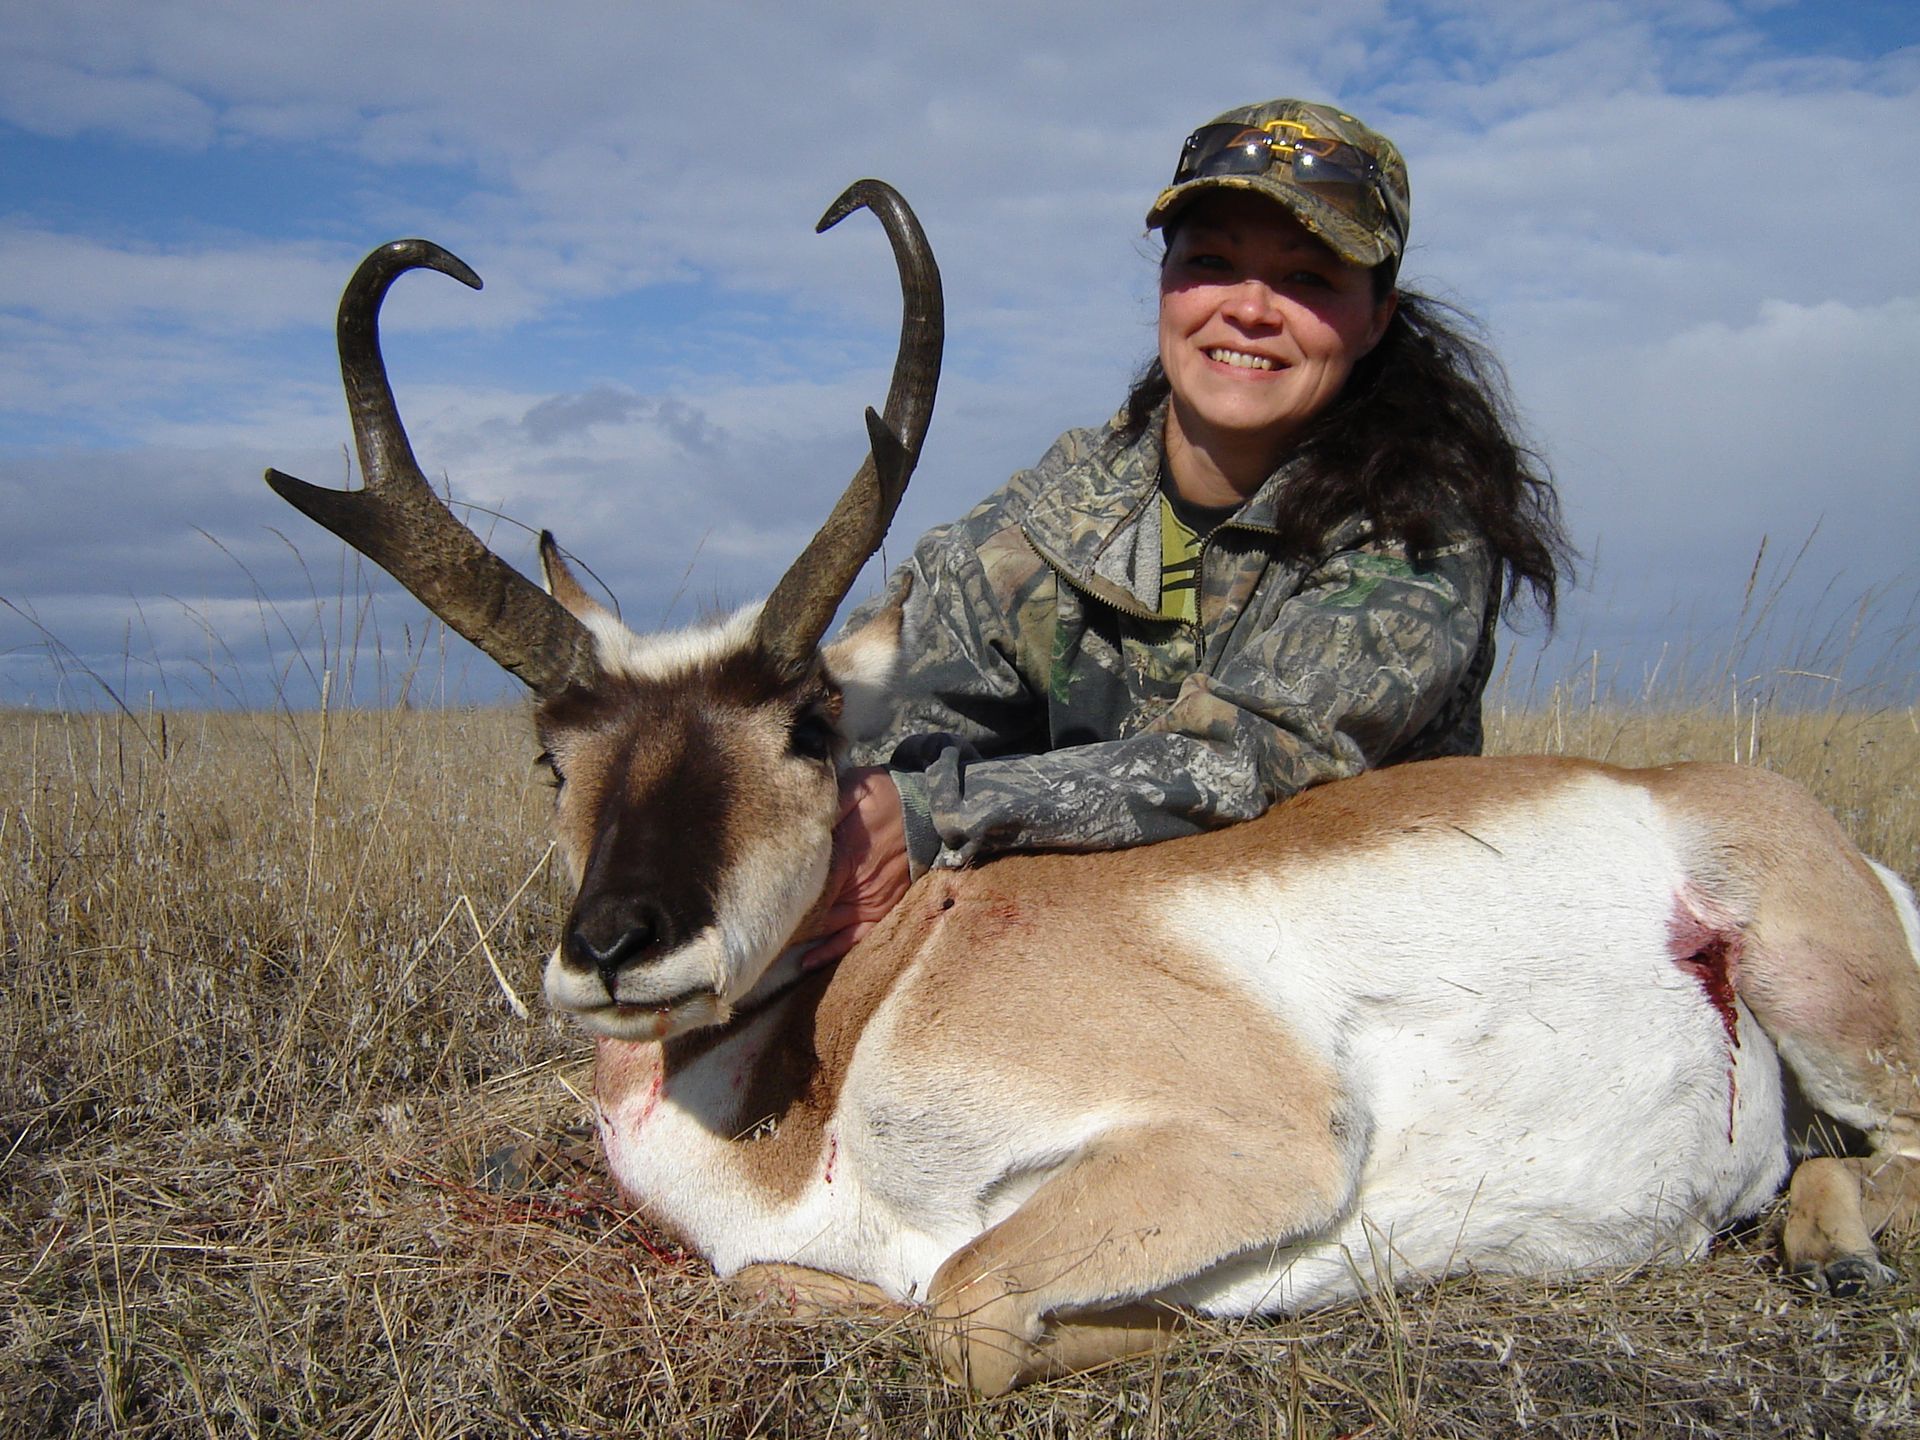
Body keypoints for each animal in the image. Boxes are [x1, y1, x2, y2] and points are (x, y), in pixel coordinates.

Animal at [267, 183, 1920, 1395]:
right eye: (554, 753)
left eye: (809, 724)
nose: (617, 948)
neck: (866, 1010)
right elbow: (817, 1288)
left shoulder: (1253, 1140)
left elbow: (955, 1303)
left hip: (1823, 994)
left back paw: (1837, 1251)